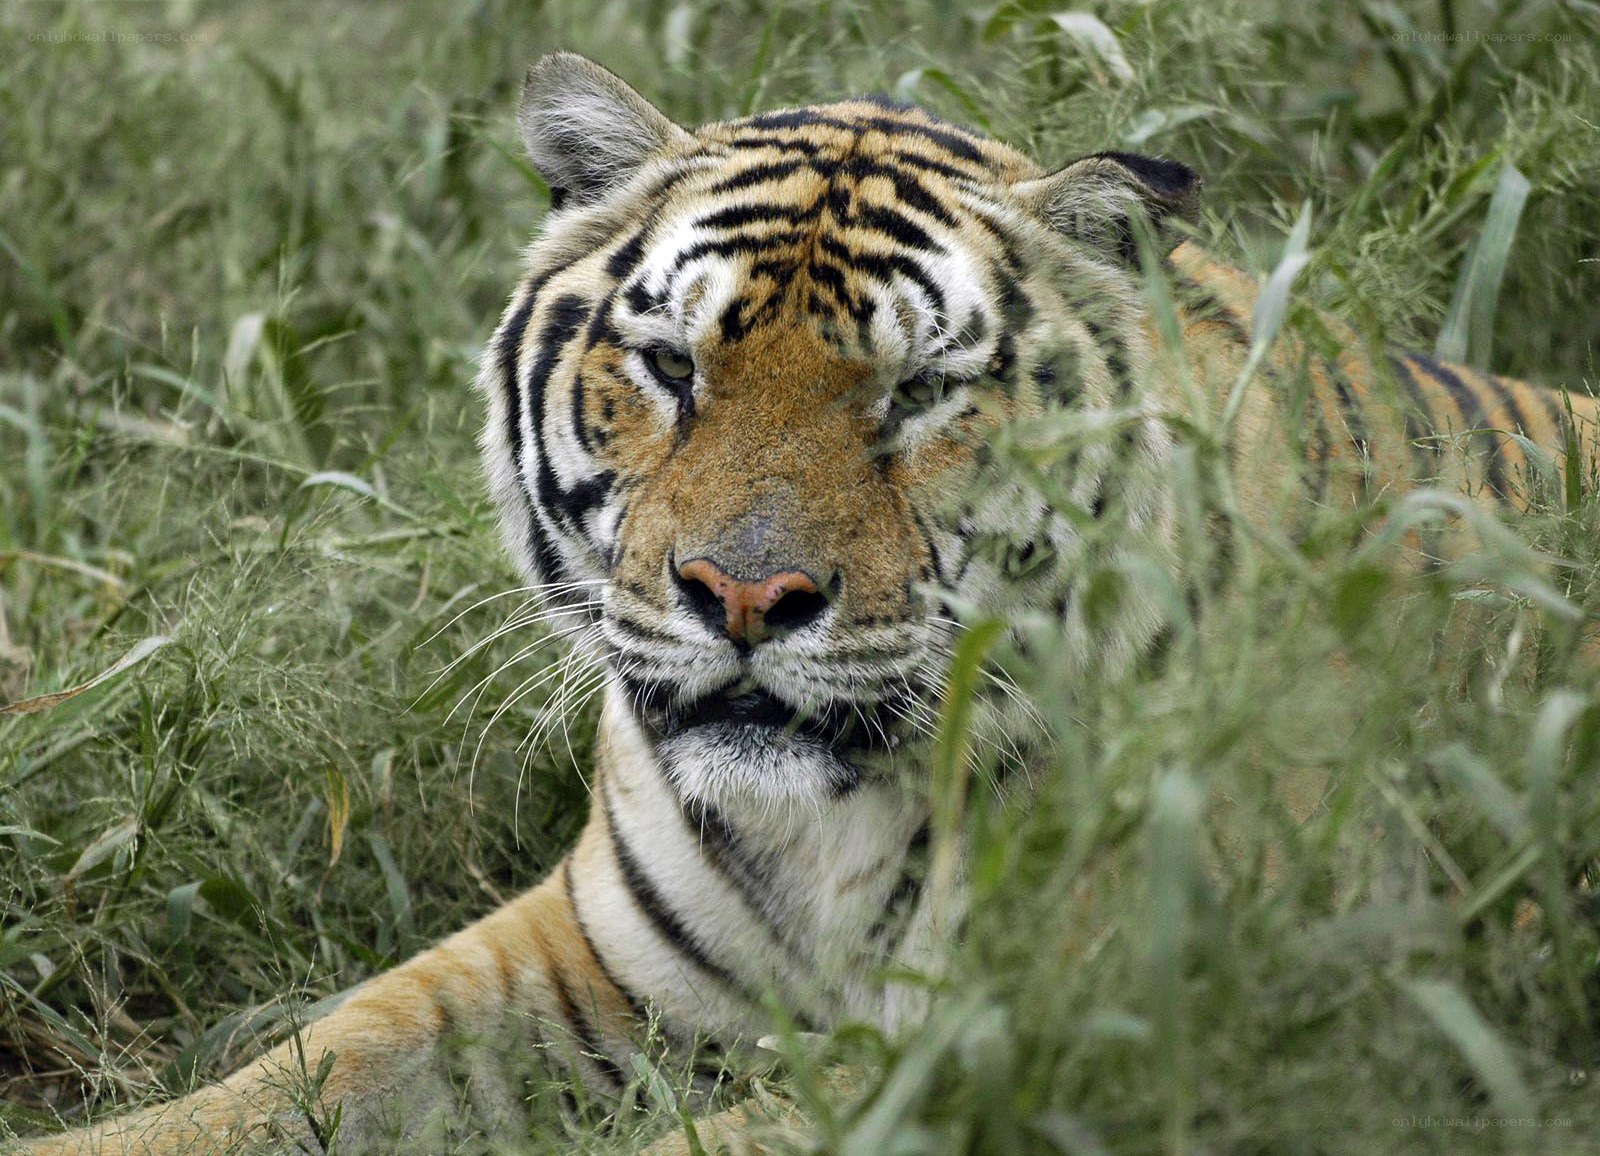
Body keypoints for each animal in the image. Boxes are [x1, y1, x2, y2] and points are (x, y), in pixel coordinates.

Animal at [15, 50, 1595, 1156]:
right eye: (672, 368)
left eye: (918, 393)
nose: (745, 594)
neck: (819, 825)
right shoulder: (579, 962)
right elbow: (302, 1064)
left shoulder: (1023, 1038)